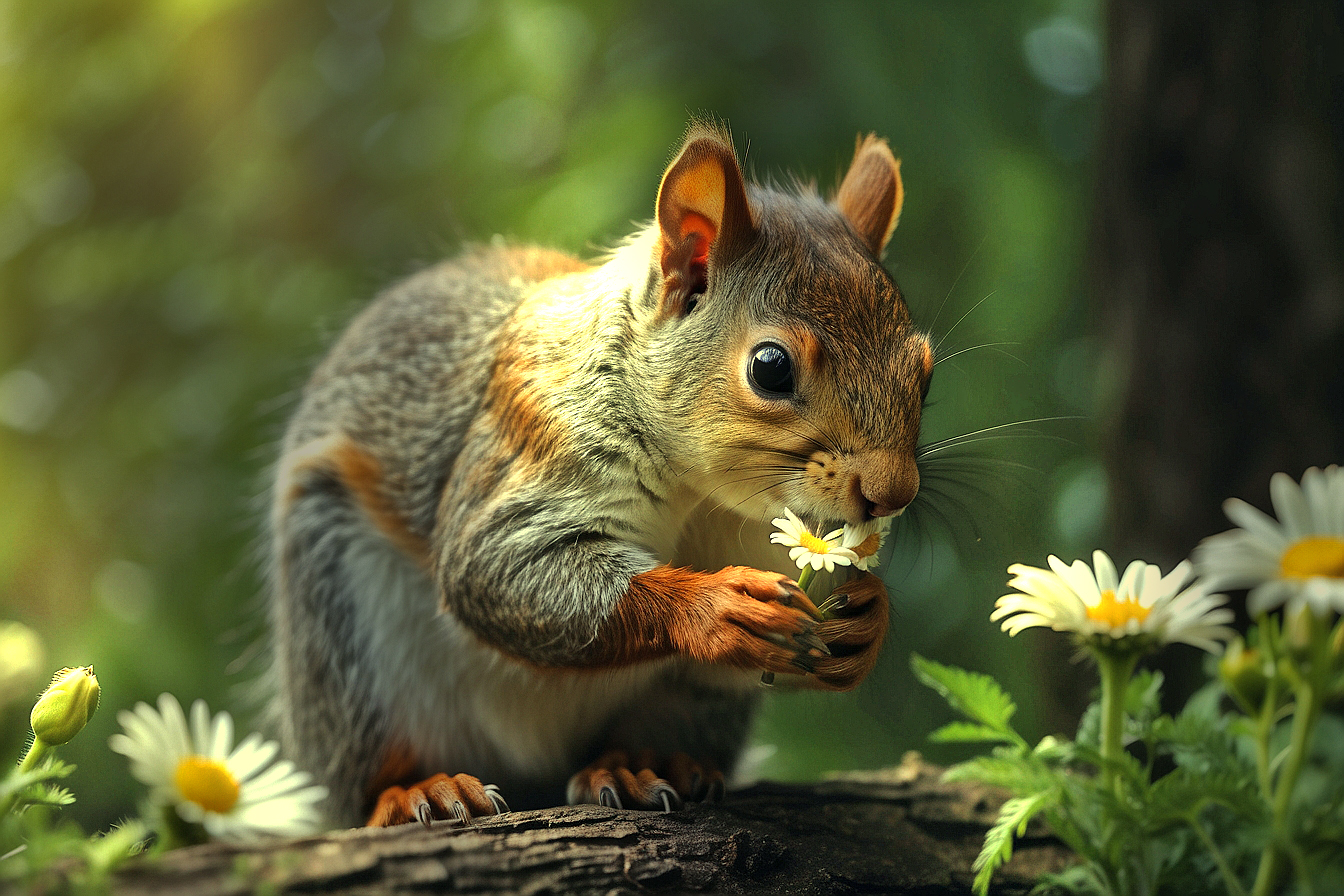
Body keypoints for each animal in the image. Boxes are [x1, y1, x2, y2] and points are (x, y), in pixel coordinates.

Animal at [264, 122, 935, 832]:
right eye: (771, 367)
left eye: (923, 372)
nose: (892, 495)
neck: (705, 496)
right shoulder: (531, 447)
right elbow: (497, 567)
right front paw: (714, 606)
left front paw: (868, 620)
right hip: (341, 631)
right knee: (363, 769)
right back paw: (416, 790)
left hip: (698, 701)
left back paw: (638, 767)